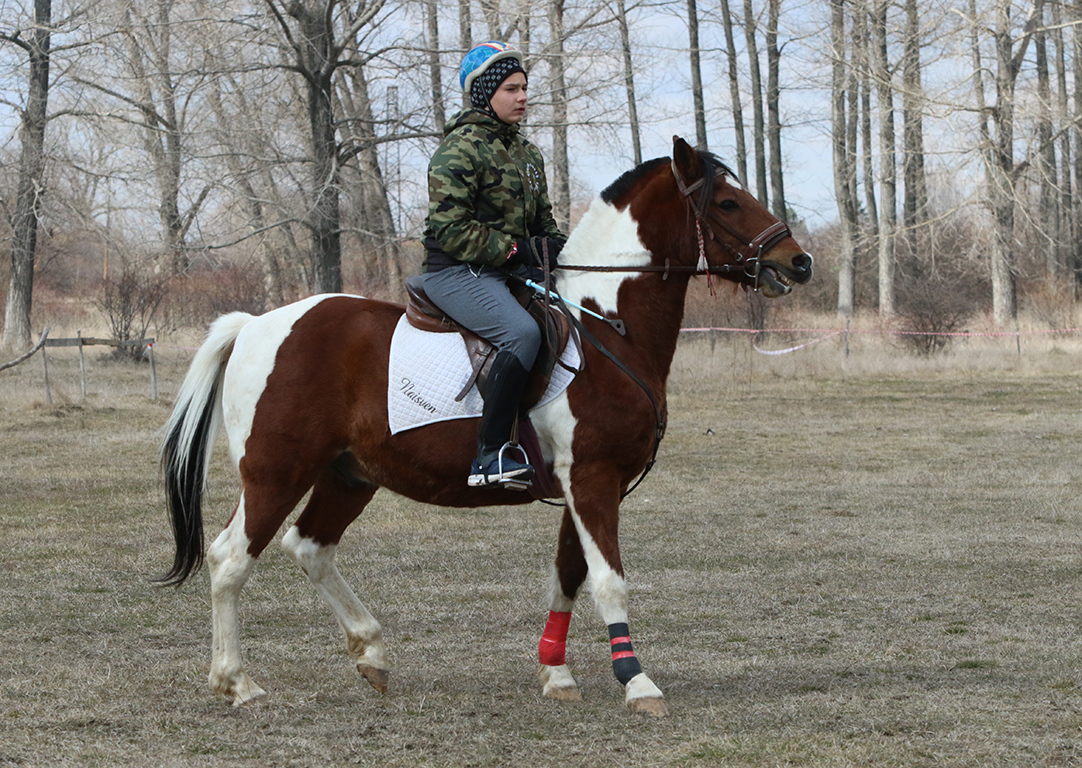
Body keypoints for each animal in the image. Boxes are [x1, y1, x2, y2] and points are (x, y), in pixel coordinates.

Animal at [160, 135, 813, 718]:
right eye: (727, 203)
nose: (798, 261)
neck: (605, 327)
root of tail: (254, 325)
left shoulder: (581, 484)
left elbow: (567, 576)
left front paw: (556, 673)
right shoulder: (595, 480)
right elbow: (609, 580)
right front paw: (636, 680)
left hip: (349, 476)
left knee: (310, 547)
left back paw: (370, 653)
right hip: (276, 473)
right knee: (230, 559)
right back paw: (237, 683)